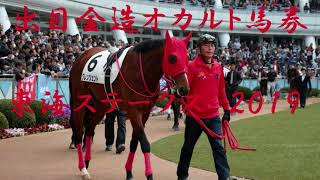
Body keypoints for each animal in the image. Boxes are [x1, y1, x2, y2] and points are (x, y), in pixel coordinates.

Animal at [69, 31, 191, 180]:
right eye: (173, 58)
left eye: (187, 57)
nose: (184, 89)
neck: (141, 71)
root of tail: (81, 57)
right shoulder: (134, 112)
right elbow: (144, 143)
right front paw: (149, 175)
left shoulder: (145, 113)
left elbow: (134, 142)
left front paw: (129, 172)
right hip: (79, 102)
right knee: (79, 130)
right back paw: (83, 168)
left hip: (101, 105)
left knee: (89, 129)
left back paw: (87, 163)